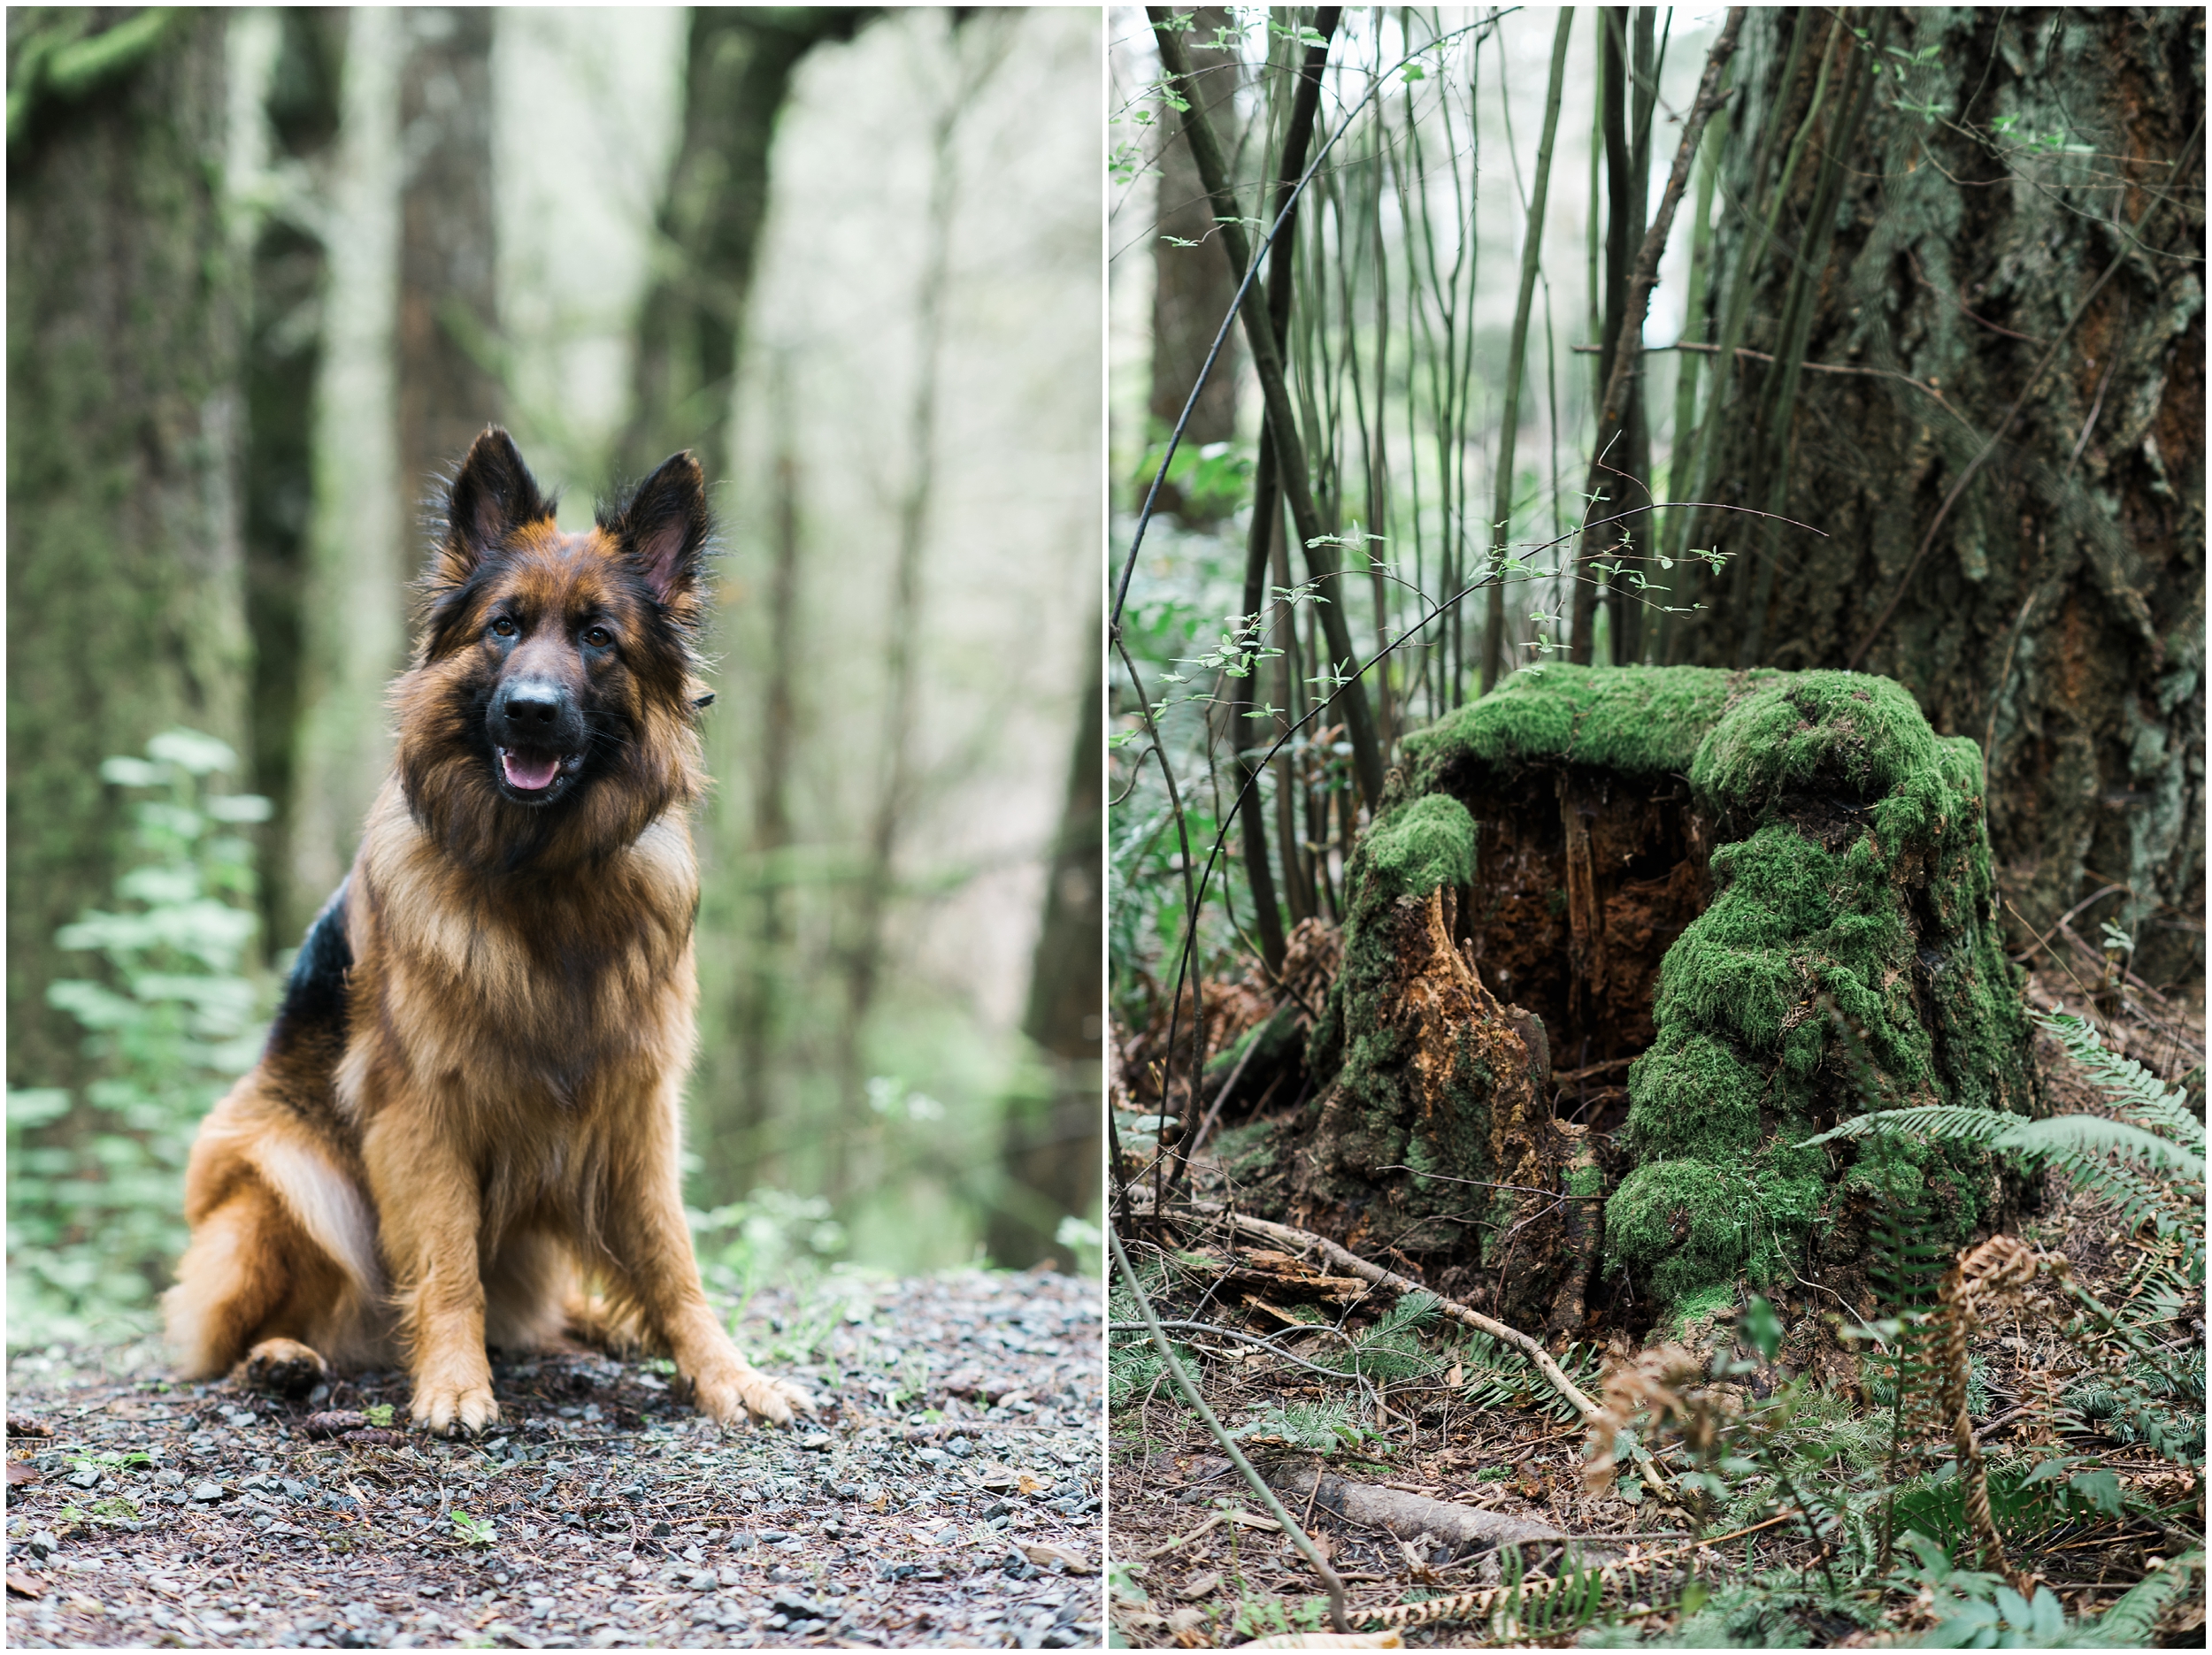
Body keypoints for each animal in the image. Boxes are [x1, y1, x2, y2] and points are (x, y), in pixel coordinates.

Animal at [168, 429, 814, 1433]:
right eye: (503, 628)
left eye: (597, 637)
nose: (531, 709)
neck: (544, 875)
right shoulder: (422, 1107)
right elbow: (444, 1255)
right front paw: (452, 1381)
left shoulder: (638, 1107)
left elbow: (673, 1262)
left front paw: (726, 1372)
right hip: (281, 1173)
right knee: (235, 1332)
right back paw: (282, 1357)